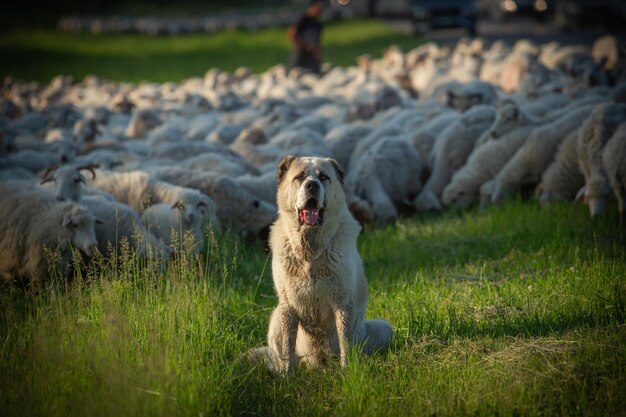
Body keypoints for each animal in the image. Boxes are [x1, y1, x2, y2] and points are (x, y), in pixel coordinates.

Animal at [249, 156, 390, 374]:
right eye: (299, 177)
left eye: (324, 177)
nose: (312, 185)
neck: (310, 250)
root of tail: (318, 362)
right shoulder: (287, 306)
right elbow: (287, 348)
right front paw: (288, 376)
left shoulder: (343, 303)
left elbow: (345, 340)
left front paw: (347, 371)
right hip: (276, 318)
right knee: (279, 356)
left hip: (383, 328)